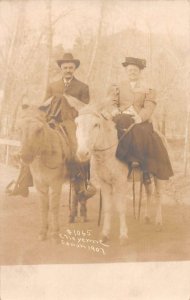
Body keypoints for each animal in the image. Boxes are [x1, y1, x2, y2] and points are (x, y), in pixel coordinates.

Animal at [75, 104, 163, 245]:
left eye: (96, 124)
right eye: (77, 123)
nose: (83, 153)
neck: (108, 153)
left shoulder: (120, 183)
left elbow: (121, 207)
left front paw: (123, 235)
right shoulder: (105, 184)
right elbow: (107, 208)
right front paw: (105, 234)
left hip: (158, 176)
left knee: (158, 195)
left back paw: (159, 223)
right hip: (145, 176)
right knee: (149, 192)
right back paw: (146, 217)